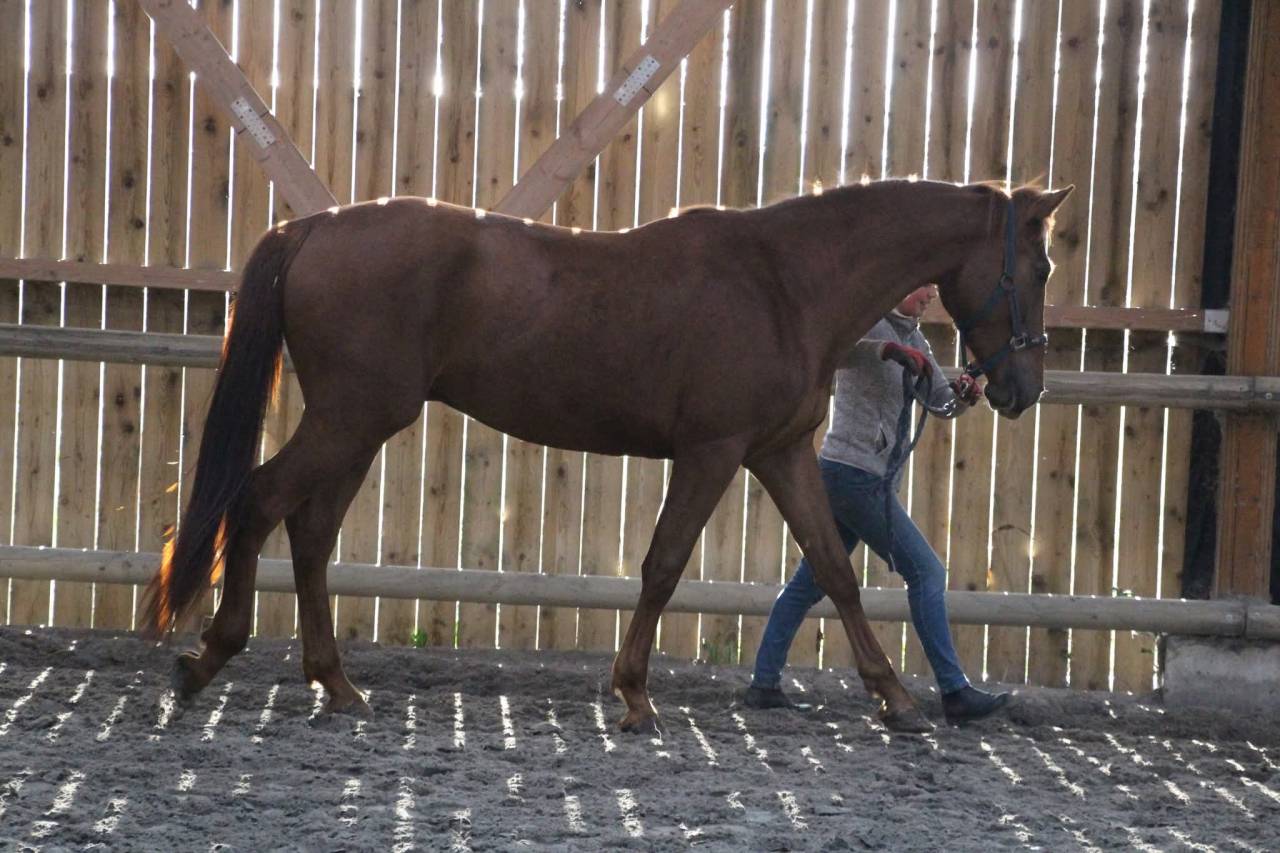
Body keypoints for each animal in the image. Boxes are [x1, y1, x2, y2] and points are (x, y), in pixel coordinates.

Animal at [143, 178, 1072, 734]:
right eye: (1038, 265)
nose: (1023, 384)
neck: (784, 283)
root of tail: (314, 227)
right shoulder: (712, 451)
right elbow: (663, 564)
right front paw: (633, 694)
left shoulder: (781, 453)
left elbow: (833, 569)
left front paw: (898, 696)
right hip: (350, 418)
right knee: (259, 503)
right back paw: (207, 659)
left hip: (360, 427)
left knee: (310, 533)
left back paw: (335, 683)